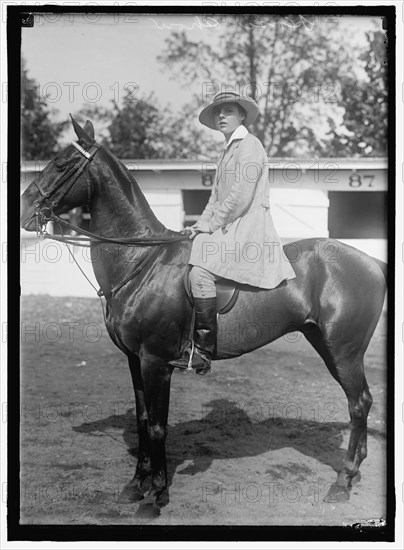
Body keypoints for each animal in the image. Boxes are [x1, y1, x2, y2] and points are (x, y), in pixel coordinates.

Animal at [20, 117, 386, 520]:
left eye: (61, 164)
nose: (22, 210)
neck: (141, 262)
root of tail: (370, 260)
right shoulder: (134, 360)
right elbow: (142, 420)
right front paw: (136, 485)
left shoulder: (156, 362)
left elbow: (158, 427)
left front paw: (156, 496)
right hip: (324, 343)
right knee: (362, 402)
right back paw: (354, 471)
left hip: (344, 351)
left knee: (359, 404)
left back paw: (343, 481)